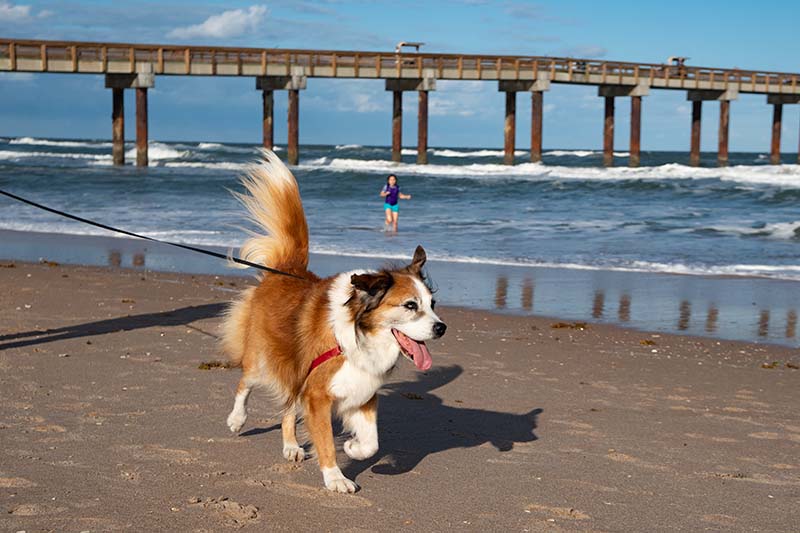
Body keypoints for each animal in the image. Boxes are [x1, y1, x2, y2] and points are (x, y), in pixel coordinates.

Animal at [220, 150, 444, 490]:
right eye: (410, 305)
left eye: (432, 304)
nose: (441, 328)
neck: (358, 333)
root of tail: (289, 269)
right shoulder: (317, 395)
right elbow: (325, 440)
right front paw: (335, 477)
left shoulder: (362, 390)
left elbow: (371, 443)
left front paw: (353, 446)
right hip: (264, 359)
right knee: (245, 383)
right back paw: (237, 419)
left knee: (288, 407)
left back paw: (291, 445)